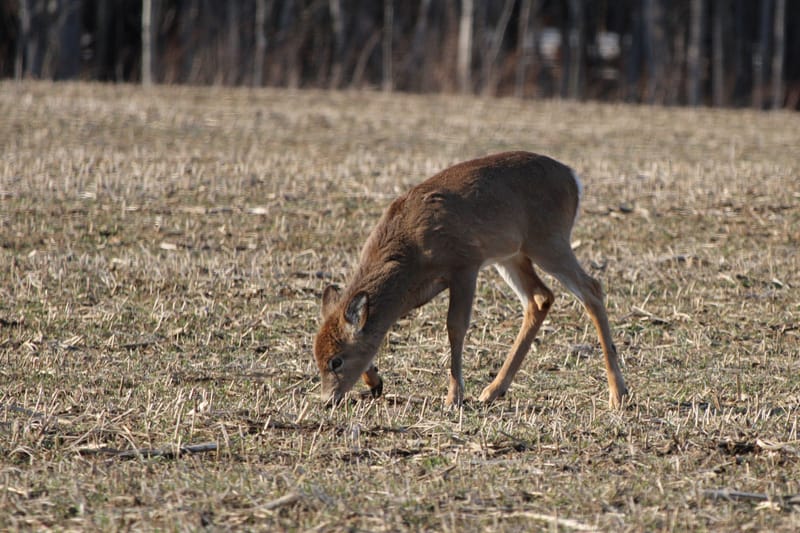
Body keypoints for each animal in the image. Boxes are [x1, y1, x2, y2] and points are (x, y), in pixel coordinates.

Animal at [313, 151, 628, 409]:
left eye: (336, 360)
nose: (327, 400)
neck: (410, 252)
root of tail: (573, 178)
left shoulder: (465, 264)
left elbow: (455, 326)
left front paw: (453, 397)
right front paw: (375, 383)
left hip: (549, 241)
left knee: (591, 289)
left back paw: (618, 394)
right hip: (511, 254)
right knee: (540, 298)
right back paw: (493, 391)